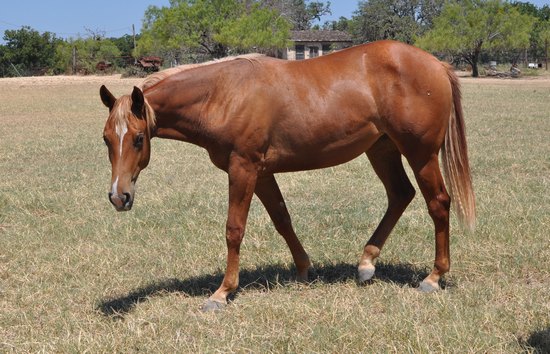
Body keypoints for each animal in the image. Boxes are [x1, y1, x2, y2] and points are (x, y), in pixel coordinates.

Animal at [100, 40, 478, 312]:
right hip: (382, 149)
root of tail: (436, 64)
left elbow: (234, 229)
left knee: (438, 203)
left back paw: (433, 277)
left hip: (421, 154)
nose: (119, 196)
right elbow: (282, 219)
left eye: (138, 138)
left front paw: (222, 292)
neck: (223, 94)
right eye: (106, 139)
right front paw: (303, 270)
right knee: (400, 195)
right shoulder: (263, 173)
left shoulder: (243, 168)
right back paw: (366, 264)